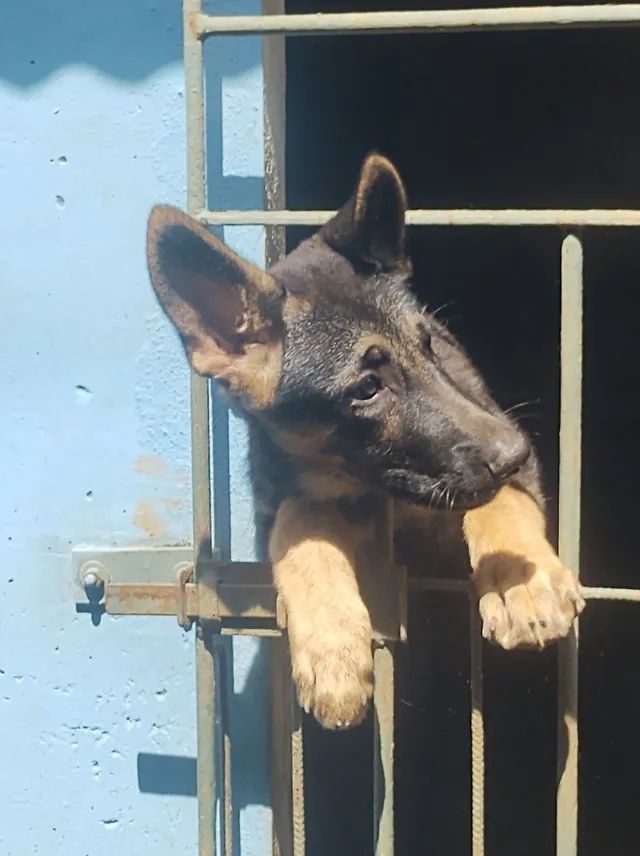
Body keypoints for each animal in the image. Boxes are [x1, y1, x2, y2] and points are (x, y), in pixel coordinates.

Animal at [145, 152, 584, 728]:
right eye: (368, 388)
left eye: (430, 345)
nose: (517, 451)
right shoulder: (289, 496)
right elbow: (301, 530)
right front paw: (333, 652)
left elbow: (501, 501)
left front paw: (522, 581)